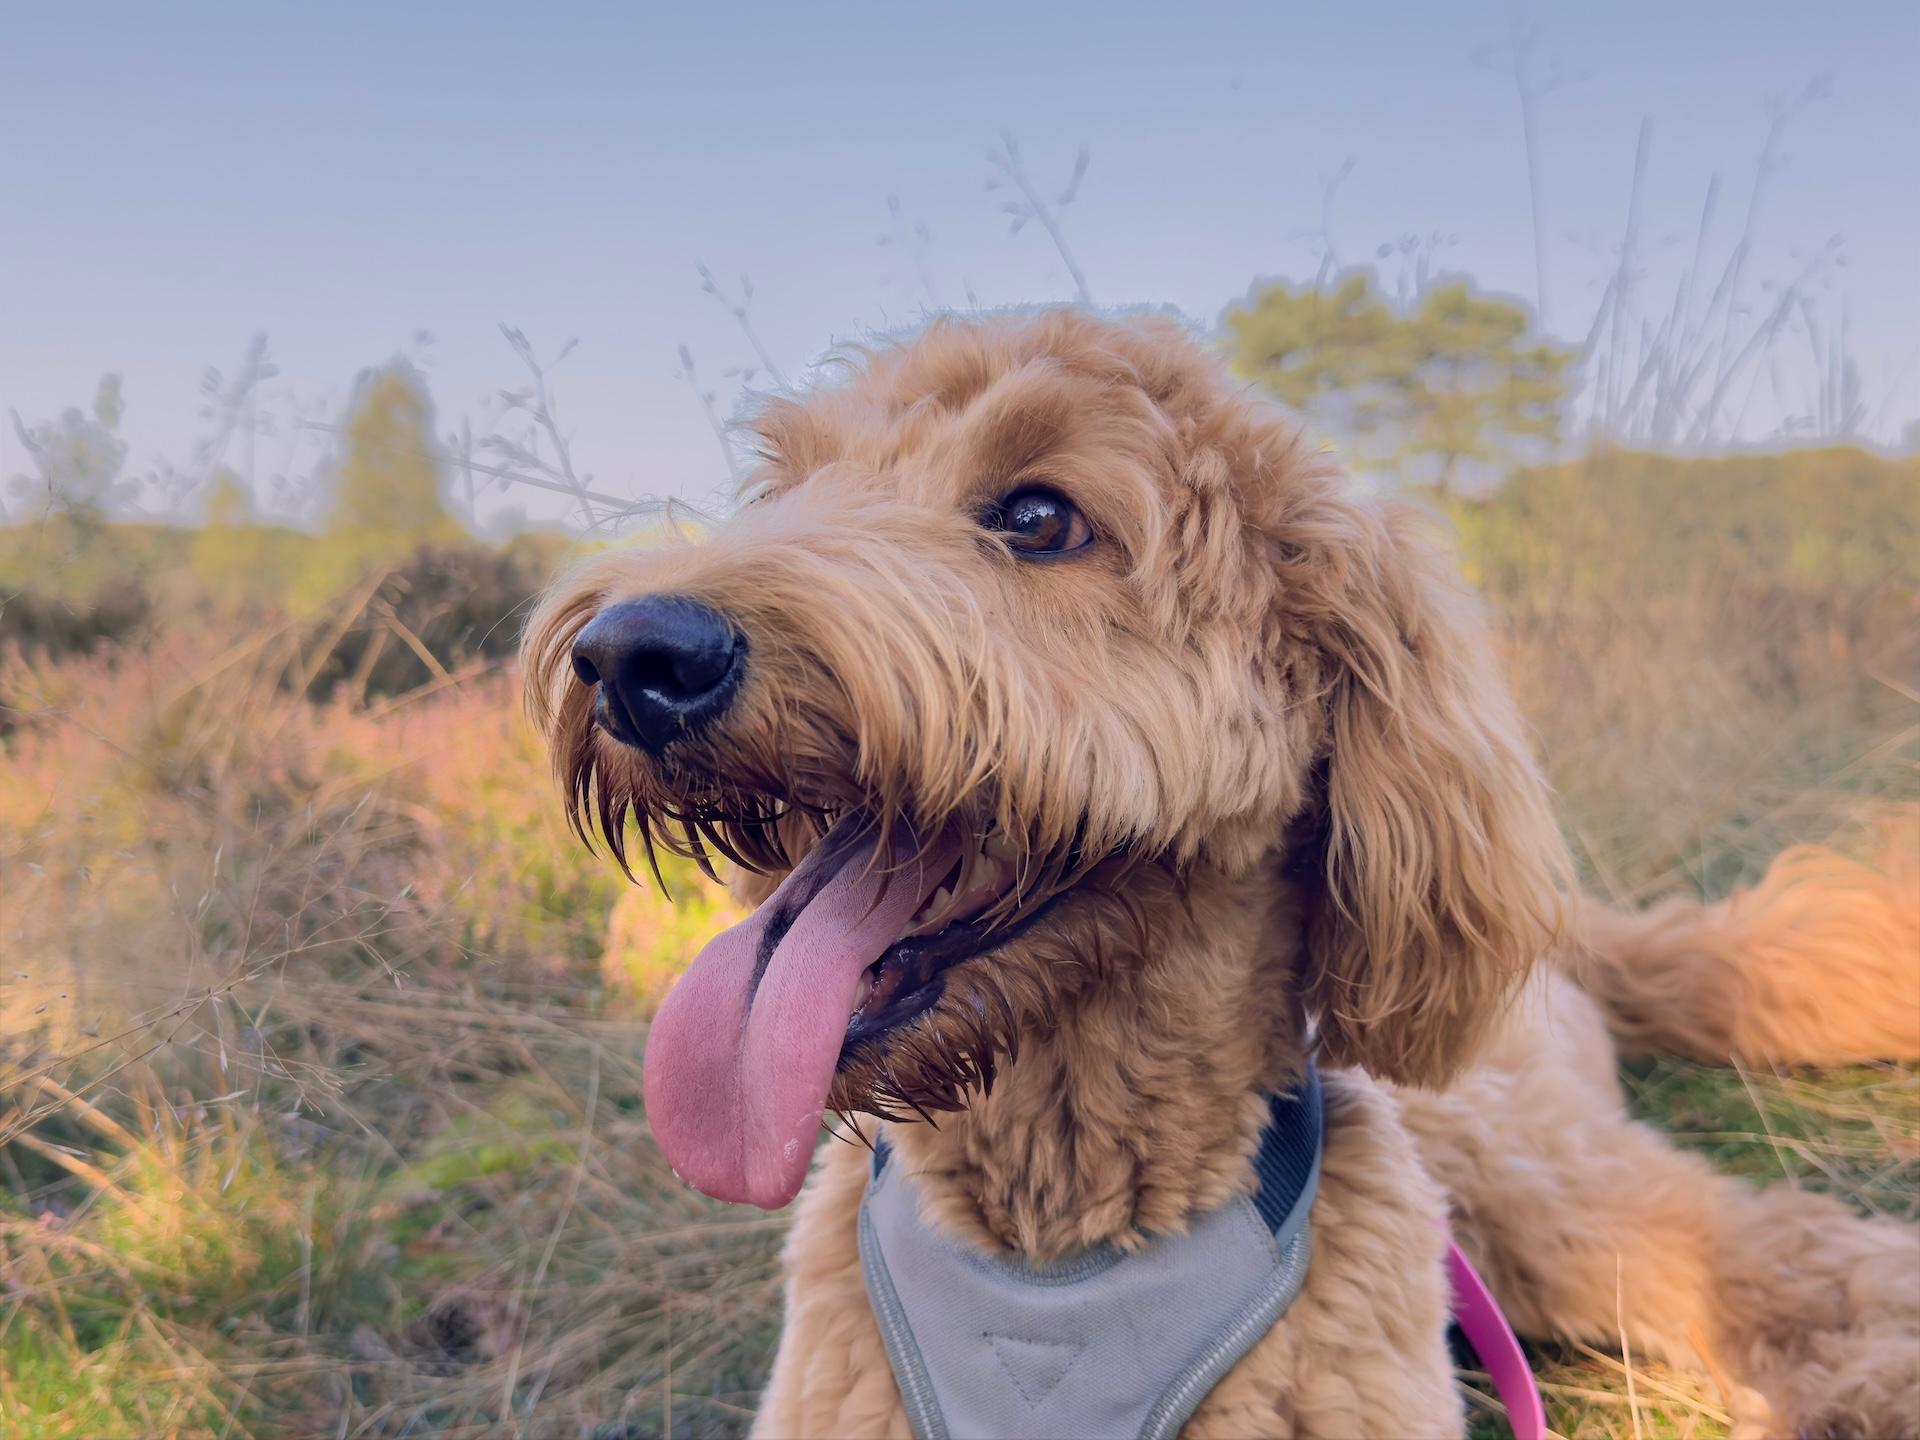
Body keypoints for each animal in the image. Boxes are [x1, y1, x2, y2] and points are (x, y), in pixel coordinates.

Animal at [522, 311, 1920, 1436]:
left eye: (1038, 517)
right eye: (793, 485)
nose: (635, 654)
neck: (1055, 1243)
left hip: (1543, 1188)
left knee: (1777, 1251)